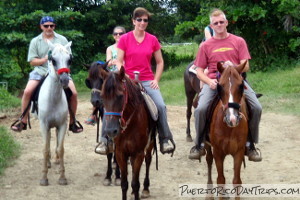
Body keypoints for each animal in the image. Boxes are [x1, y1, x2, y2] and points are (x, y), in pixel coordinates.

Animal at [101, 67, 157, 200]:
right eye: (102, 97)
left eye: (120, 96)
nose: (111, 131)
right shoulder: (121, 153)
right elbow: (124, 183)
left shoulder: (138, 153)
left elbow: (135, 183)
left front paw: (139, 189)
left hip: (150, 144)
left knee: (148, 160)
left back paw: (146, 188)